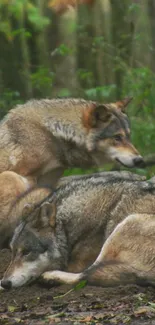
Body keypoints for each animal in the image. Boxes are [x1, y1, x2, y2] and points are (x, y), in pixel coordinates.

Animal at [0, 171, 154, 288]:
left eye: (26, 252)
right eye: (13, 253)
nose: (5, 283)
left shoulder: (77, 264)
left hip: (126, 223)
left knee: (86, 275)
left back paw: (50, 277)